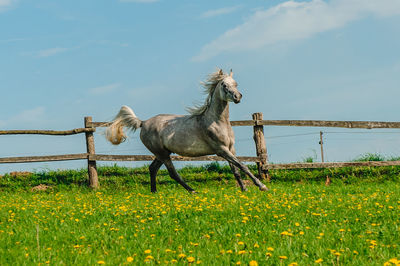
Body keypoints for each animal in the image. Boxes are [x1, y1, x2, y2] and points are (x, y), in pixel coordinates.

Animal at [106, 68, 268, 193]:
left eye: (235, 84)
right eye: (224, 84)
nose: (237, 96)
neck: (217, 121)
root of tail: (143, 122)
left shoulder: (230, 148)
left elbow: (236, 169)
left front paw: (244, 189)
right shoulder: (221, 150)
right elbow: (242, 165)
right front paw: (261, 186)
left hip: (162, 153)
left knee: (152, 169)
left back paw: (154, 192)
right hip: (163, 154)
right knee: (172, 173)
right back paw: (192, 191)